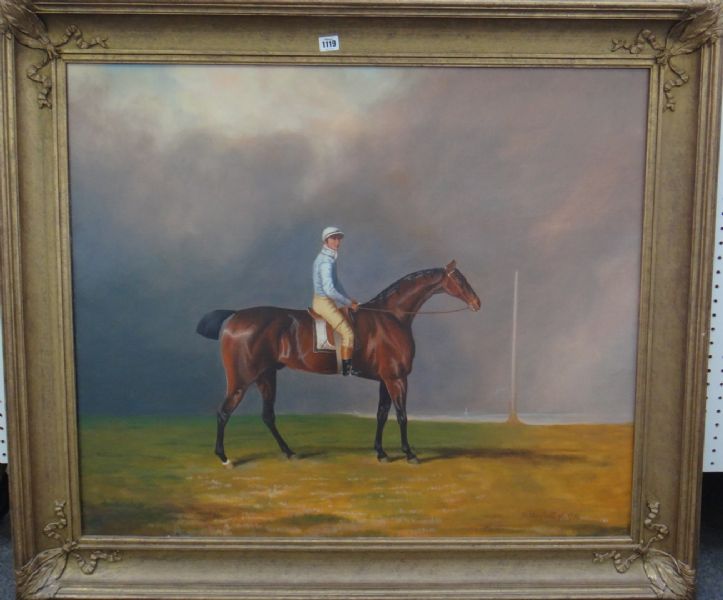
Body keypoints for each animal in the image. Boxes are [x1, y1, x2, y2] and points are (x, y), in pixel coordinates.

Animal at [196, 260, 481, 466]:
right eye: (460, 279)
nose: (477, 303)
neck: (391, 316)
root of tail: (235, 316)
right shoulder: (397, 378)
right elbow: (401, 415)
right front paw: (409, 454)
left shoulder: (385, 380)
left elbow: (381, 414)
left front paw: (381, 452)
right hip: (241, 379)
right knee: (224, 412)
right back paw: (224, 457)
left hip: (266, 376)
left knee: (267, 415)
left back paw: (289, 452)